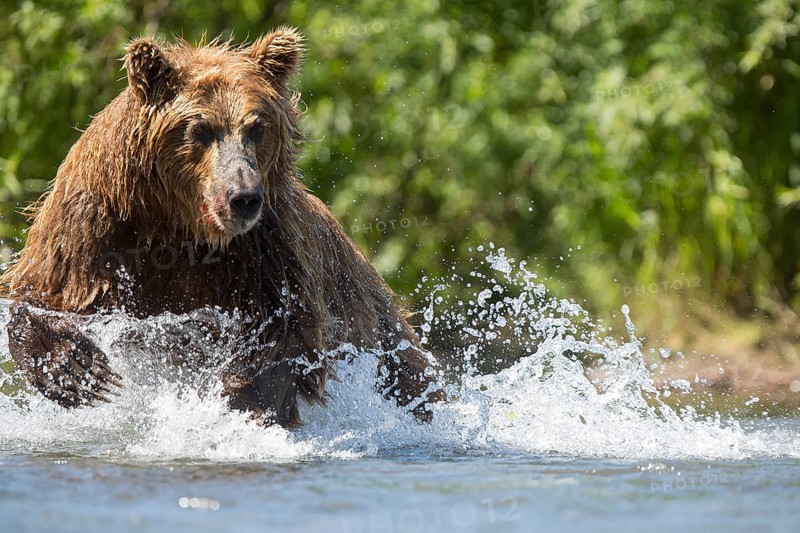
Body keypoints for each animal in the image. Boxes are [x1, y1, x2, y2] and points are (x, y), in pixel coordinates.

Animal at [1, 28, 443, 428]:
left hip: (379, 331)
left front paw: (244, 398)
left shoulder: (268, 247)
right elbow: (44, 291)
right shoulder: (95, 223)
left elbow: (282, 330)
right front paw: (78, 369)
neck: (180, 224)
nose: (242, 196)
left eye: (256, 127)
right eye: (200, 129)